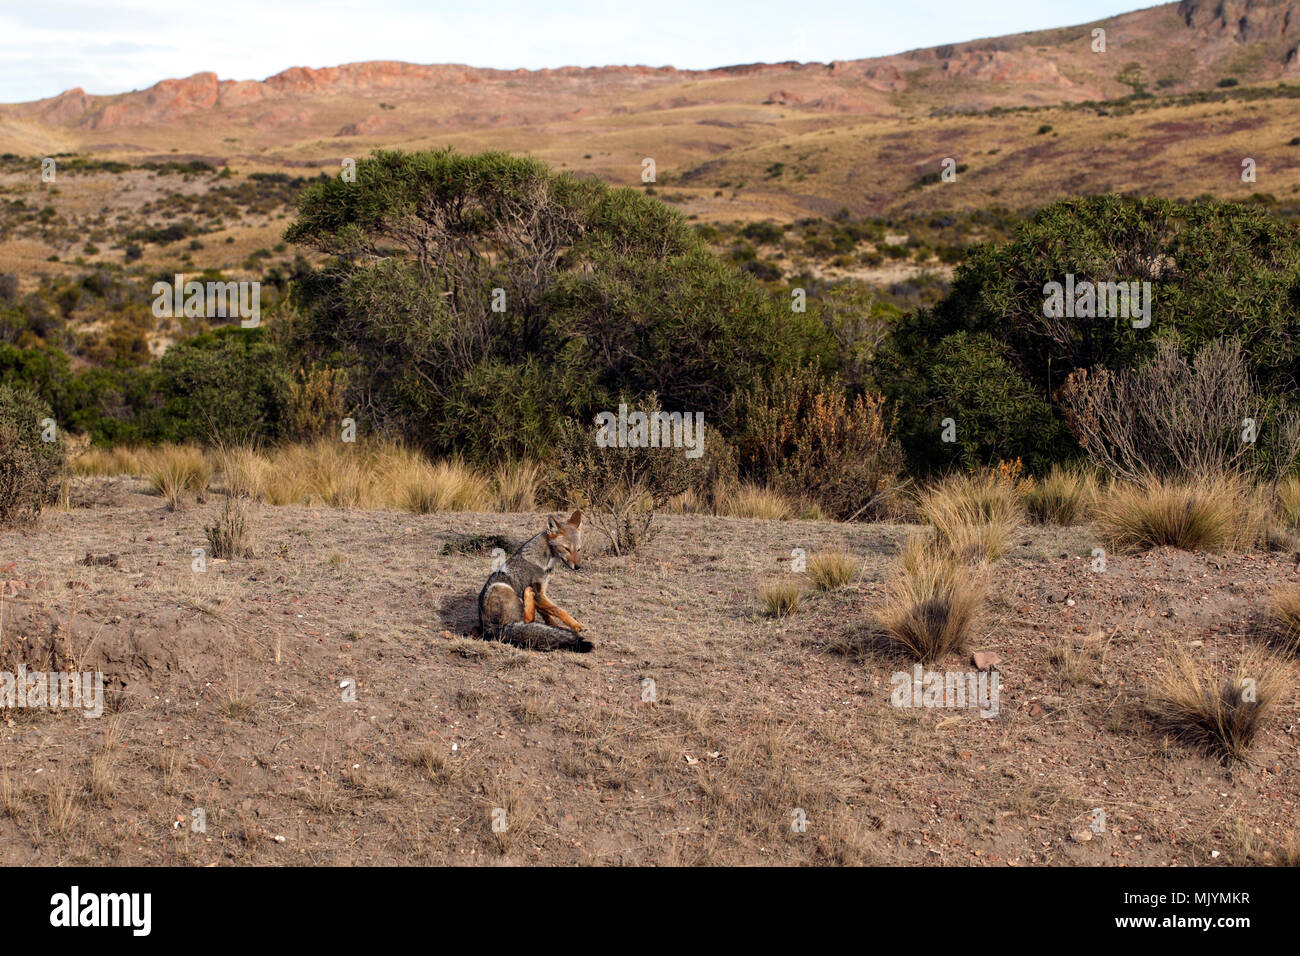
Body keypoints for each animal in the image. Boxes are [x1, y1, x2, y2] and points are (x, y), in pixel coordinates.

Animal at [477, 510, 593, 653]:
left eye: (578, 549)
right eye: (566, 549)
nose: (577, 567)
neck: (545, 562)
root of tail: (491, 631)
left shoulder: (542, 593)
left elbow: (547, 613)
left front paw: (554, 626)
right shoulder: (539, 594)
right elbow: (558, 610)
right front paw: (576, 625)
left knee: (529, 621)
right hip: (500, 587)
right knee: (528, 620)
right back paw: (527, 593)